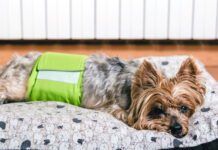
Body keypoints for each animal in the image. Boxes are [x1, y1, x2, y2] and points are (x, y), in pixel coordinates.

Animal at [0, 51, 205, 138]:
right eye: (157, 110)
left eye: (184, 108)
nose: (177, 129)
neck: (131, 86)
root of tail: (15, 59)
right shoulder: (116, 109)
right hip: (19, 86)